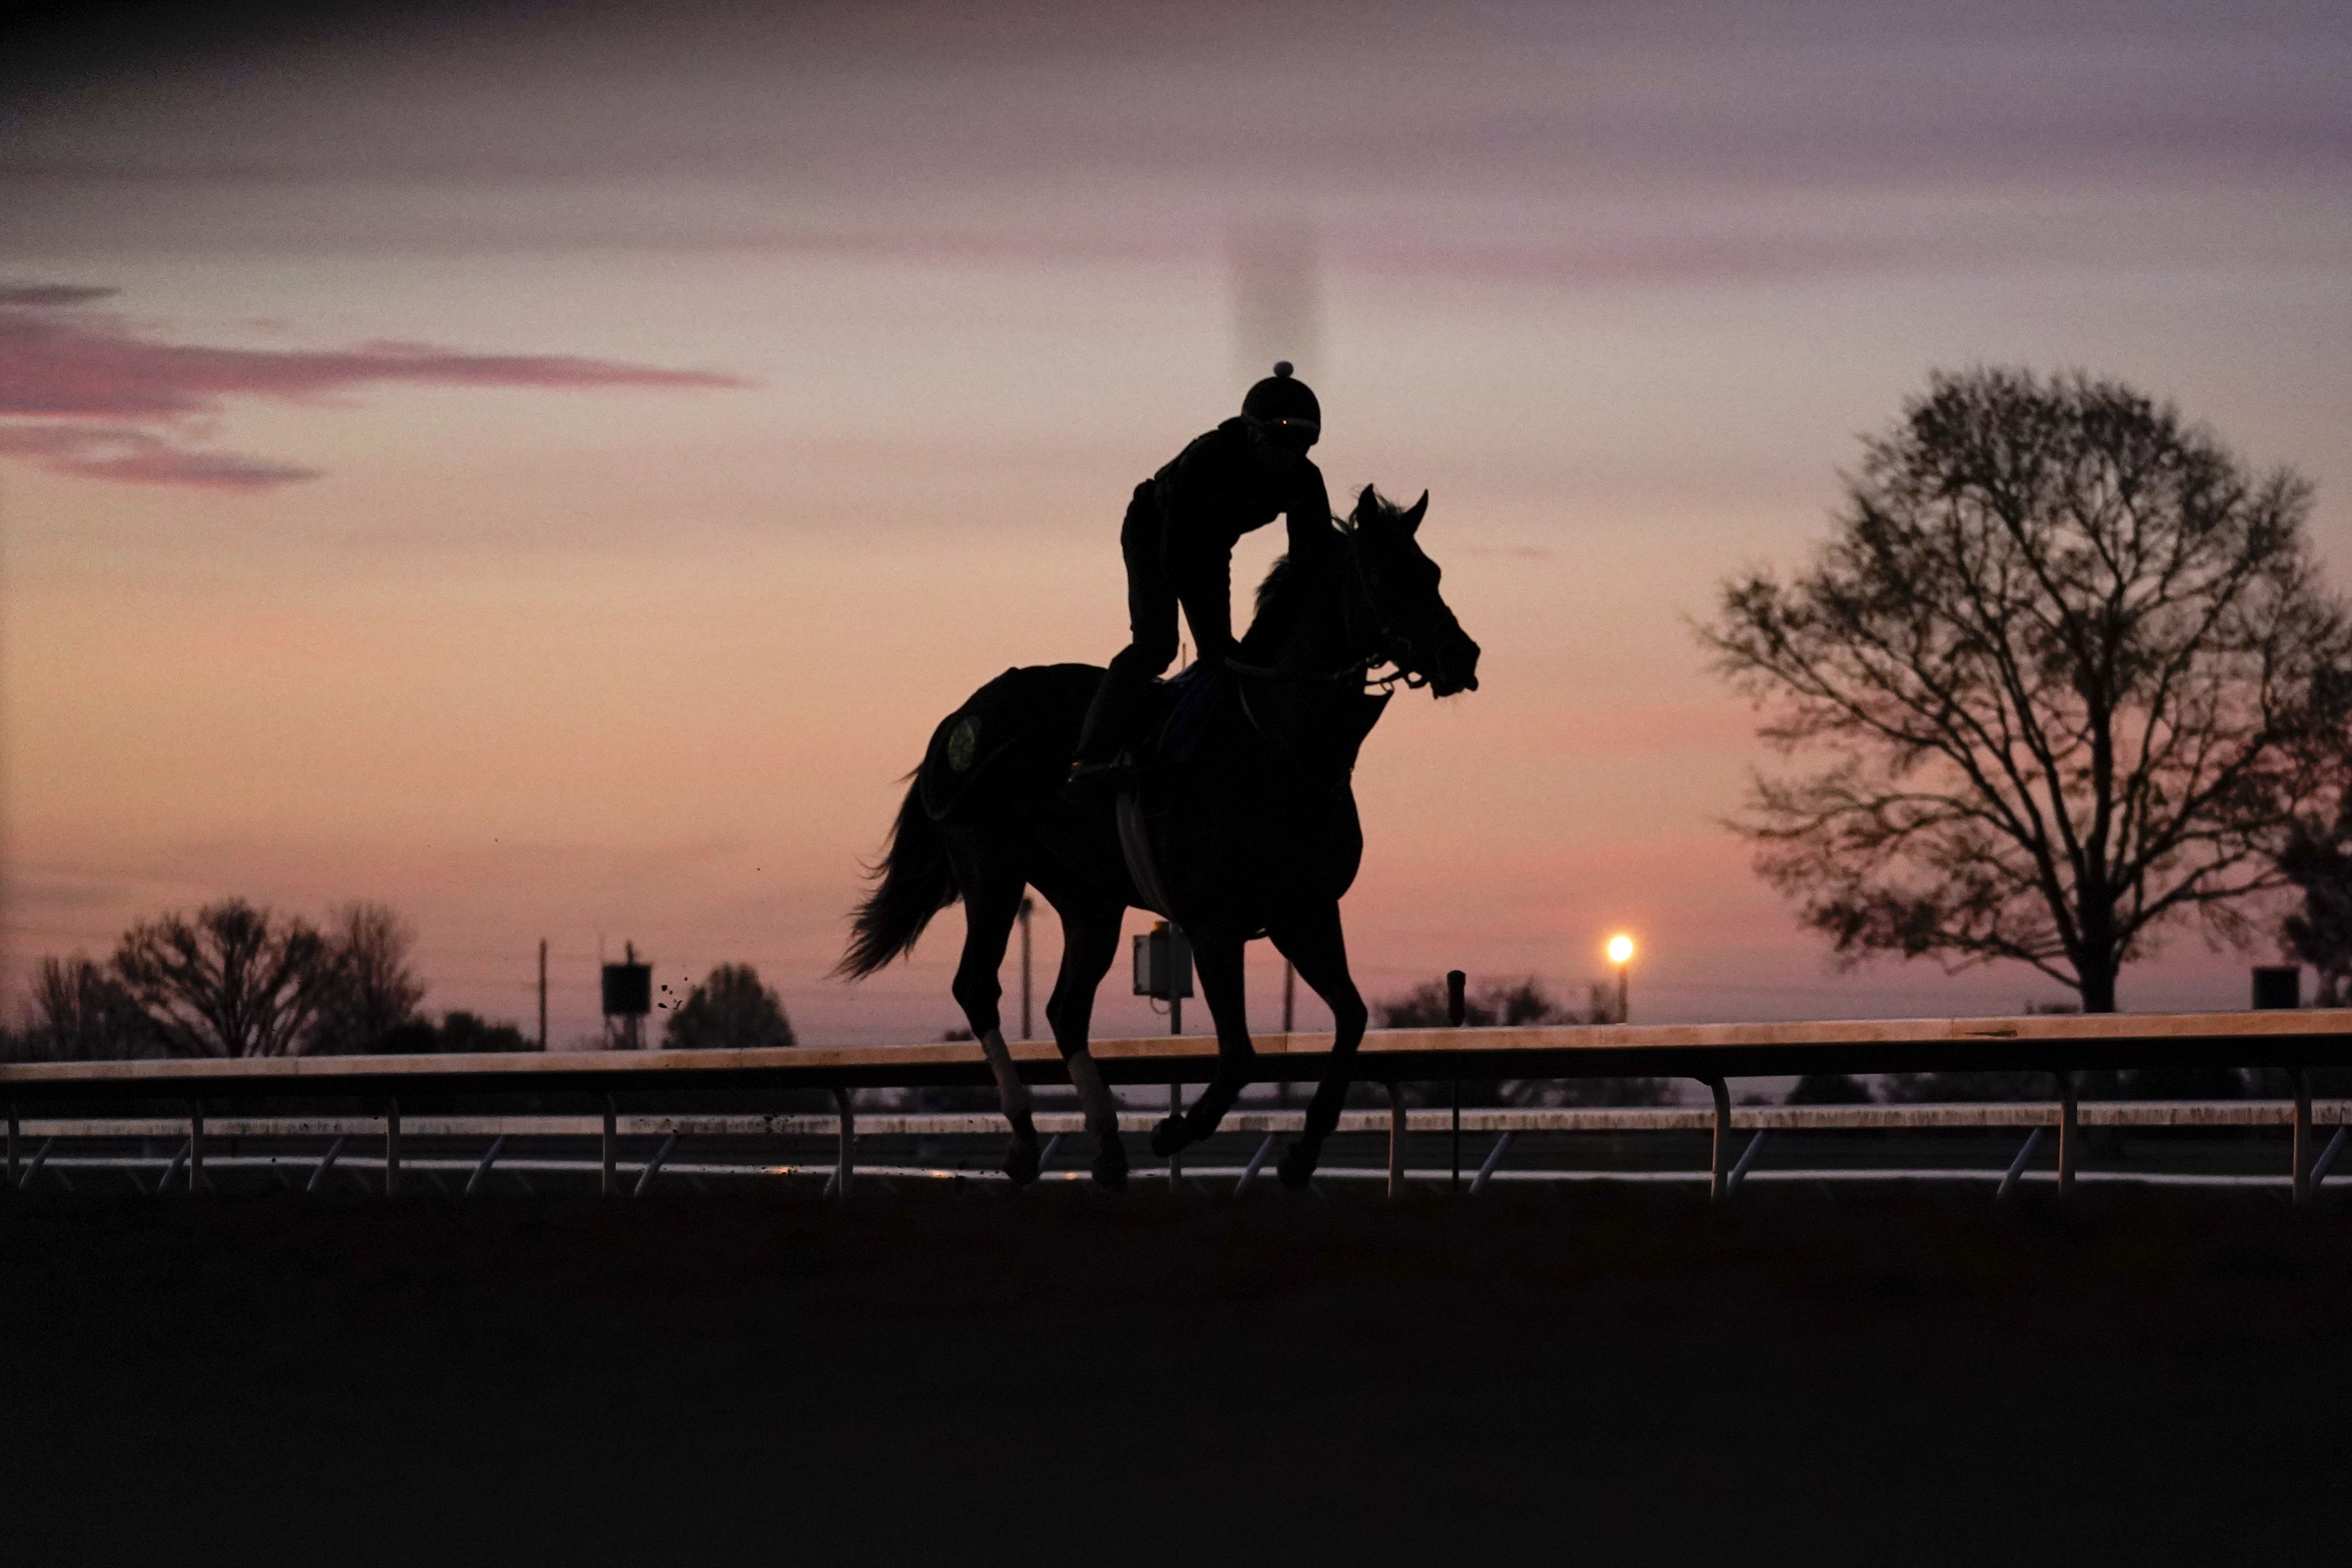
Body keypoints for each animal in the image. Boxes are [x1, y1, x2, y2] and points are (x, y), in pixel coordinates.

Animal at [836, 486, 1481, 1190]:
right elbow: (1241, 1054)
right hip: (991, 867)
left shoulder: (1305, 911)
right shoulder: (1214, 923)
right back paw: (1026, 1138)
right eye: (1392, 575)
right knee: (978, 987)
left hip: (1088, 898)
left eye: (1434, 573)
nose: (1462, 656)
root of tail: (960, 717)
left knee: (1066, 1008)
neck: (1276, 745)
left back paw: (1107, 1145)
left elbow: (1352, 1019)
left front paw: (1302, 1152)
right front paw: (1177, 1129)